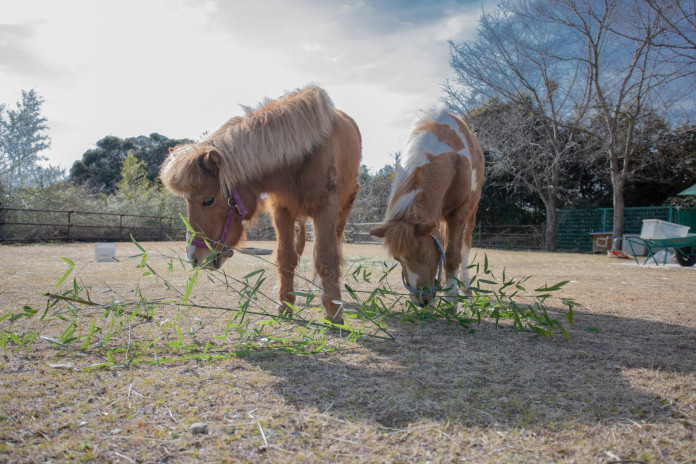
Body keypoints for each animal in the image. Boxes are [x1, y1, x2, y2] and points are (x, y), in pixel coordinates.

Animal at [161, 88, 362, 326]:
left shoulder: (325, 209)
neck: (303, 155)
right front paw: (285, 304)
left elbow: (326, 258)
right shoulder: (282, 211)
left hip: (342, 209)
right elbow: (285, 257)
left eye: (207, 200)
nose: (193, 258)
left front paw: (333, 312)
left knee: (332, 246)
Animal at [370, 107, 484, 306]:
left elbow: (453, 256)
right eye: (398, 258)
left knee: (465, 246)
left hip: (471, 214)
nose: (421, 300)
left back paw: (465, 287)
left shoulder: (458, 215)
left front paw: (451, 299)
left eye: (424, 254)